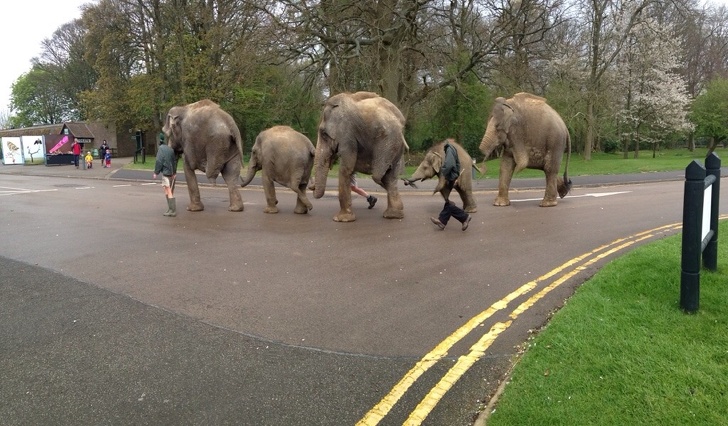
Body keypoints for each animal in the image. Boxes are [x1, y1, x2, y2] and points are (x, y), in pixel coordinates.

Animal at [312, 91, 410, 221]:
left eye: (323, 134)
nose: (311, 186)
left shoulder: (347, 135)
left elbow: (346, 168)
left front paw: (341, 219)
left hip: (389, 144)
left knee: (378, 176)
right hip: (397, 147)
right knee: (391, 176)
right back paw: (394, 214)